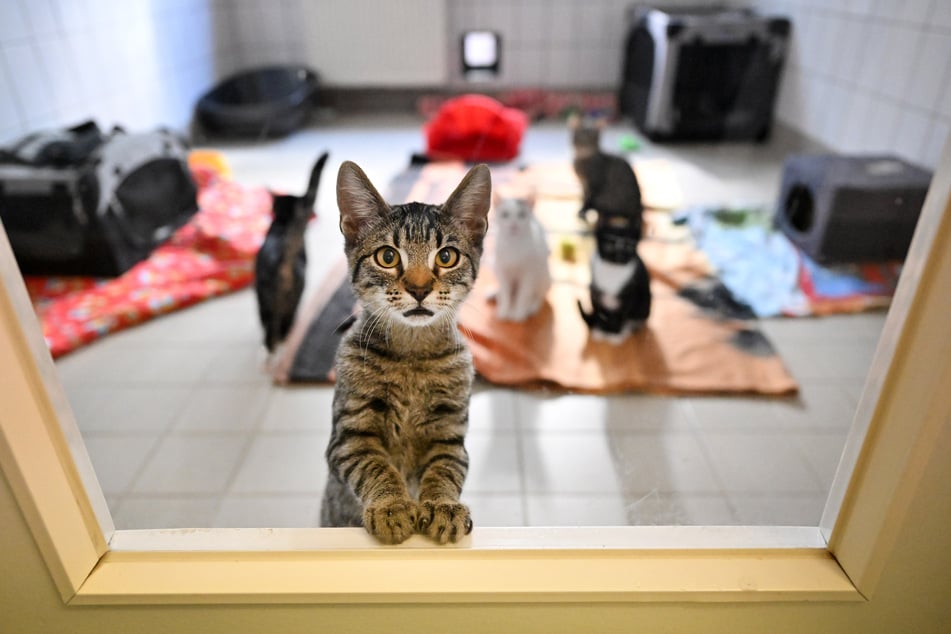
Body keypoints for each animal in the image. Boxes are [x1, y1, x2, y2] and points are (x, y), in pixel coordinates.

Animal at [255, 151, 330, 354]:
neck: (283, 222)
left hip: (262, 297)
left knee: (268, 326)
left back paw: (271, 344)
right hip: (296, 290)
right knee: (286, 319)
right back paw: (286, 335)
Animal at [324, 159, 494, 544]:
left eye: (446, 256)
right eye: (388, 256)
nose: (418, 288)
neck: (411, 358)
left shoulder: (449, 434)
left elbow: (444, 471)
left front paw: (442, 506)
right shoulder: (349, 434)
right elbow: (375, 466)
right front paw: (391, 507)